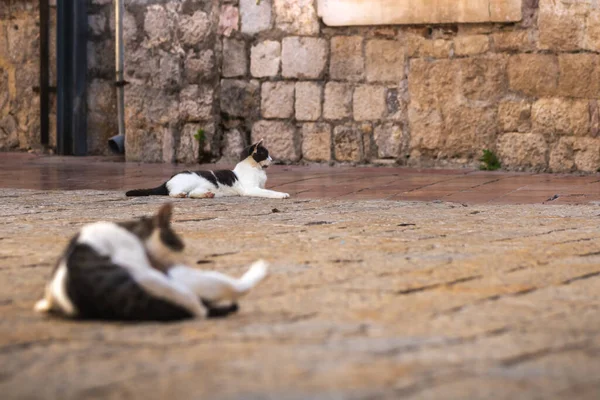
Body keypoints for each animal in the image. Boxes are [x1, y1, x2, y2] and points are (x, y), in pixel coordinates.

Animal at [125, 140, 290, 199]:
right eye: (266, 154)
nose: (272, 160)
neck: (255, 168)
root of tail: (168, 180)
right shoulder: (251, 188)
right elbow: (269, 192)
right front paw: (282, 194)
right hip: (186, 183)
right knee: (174, 193)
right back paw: (180, 194)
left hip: (199, 187)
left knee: (192, 194)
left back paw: (207, 194)